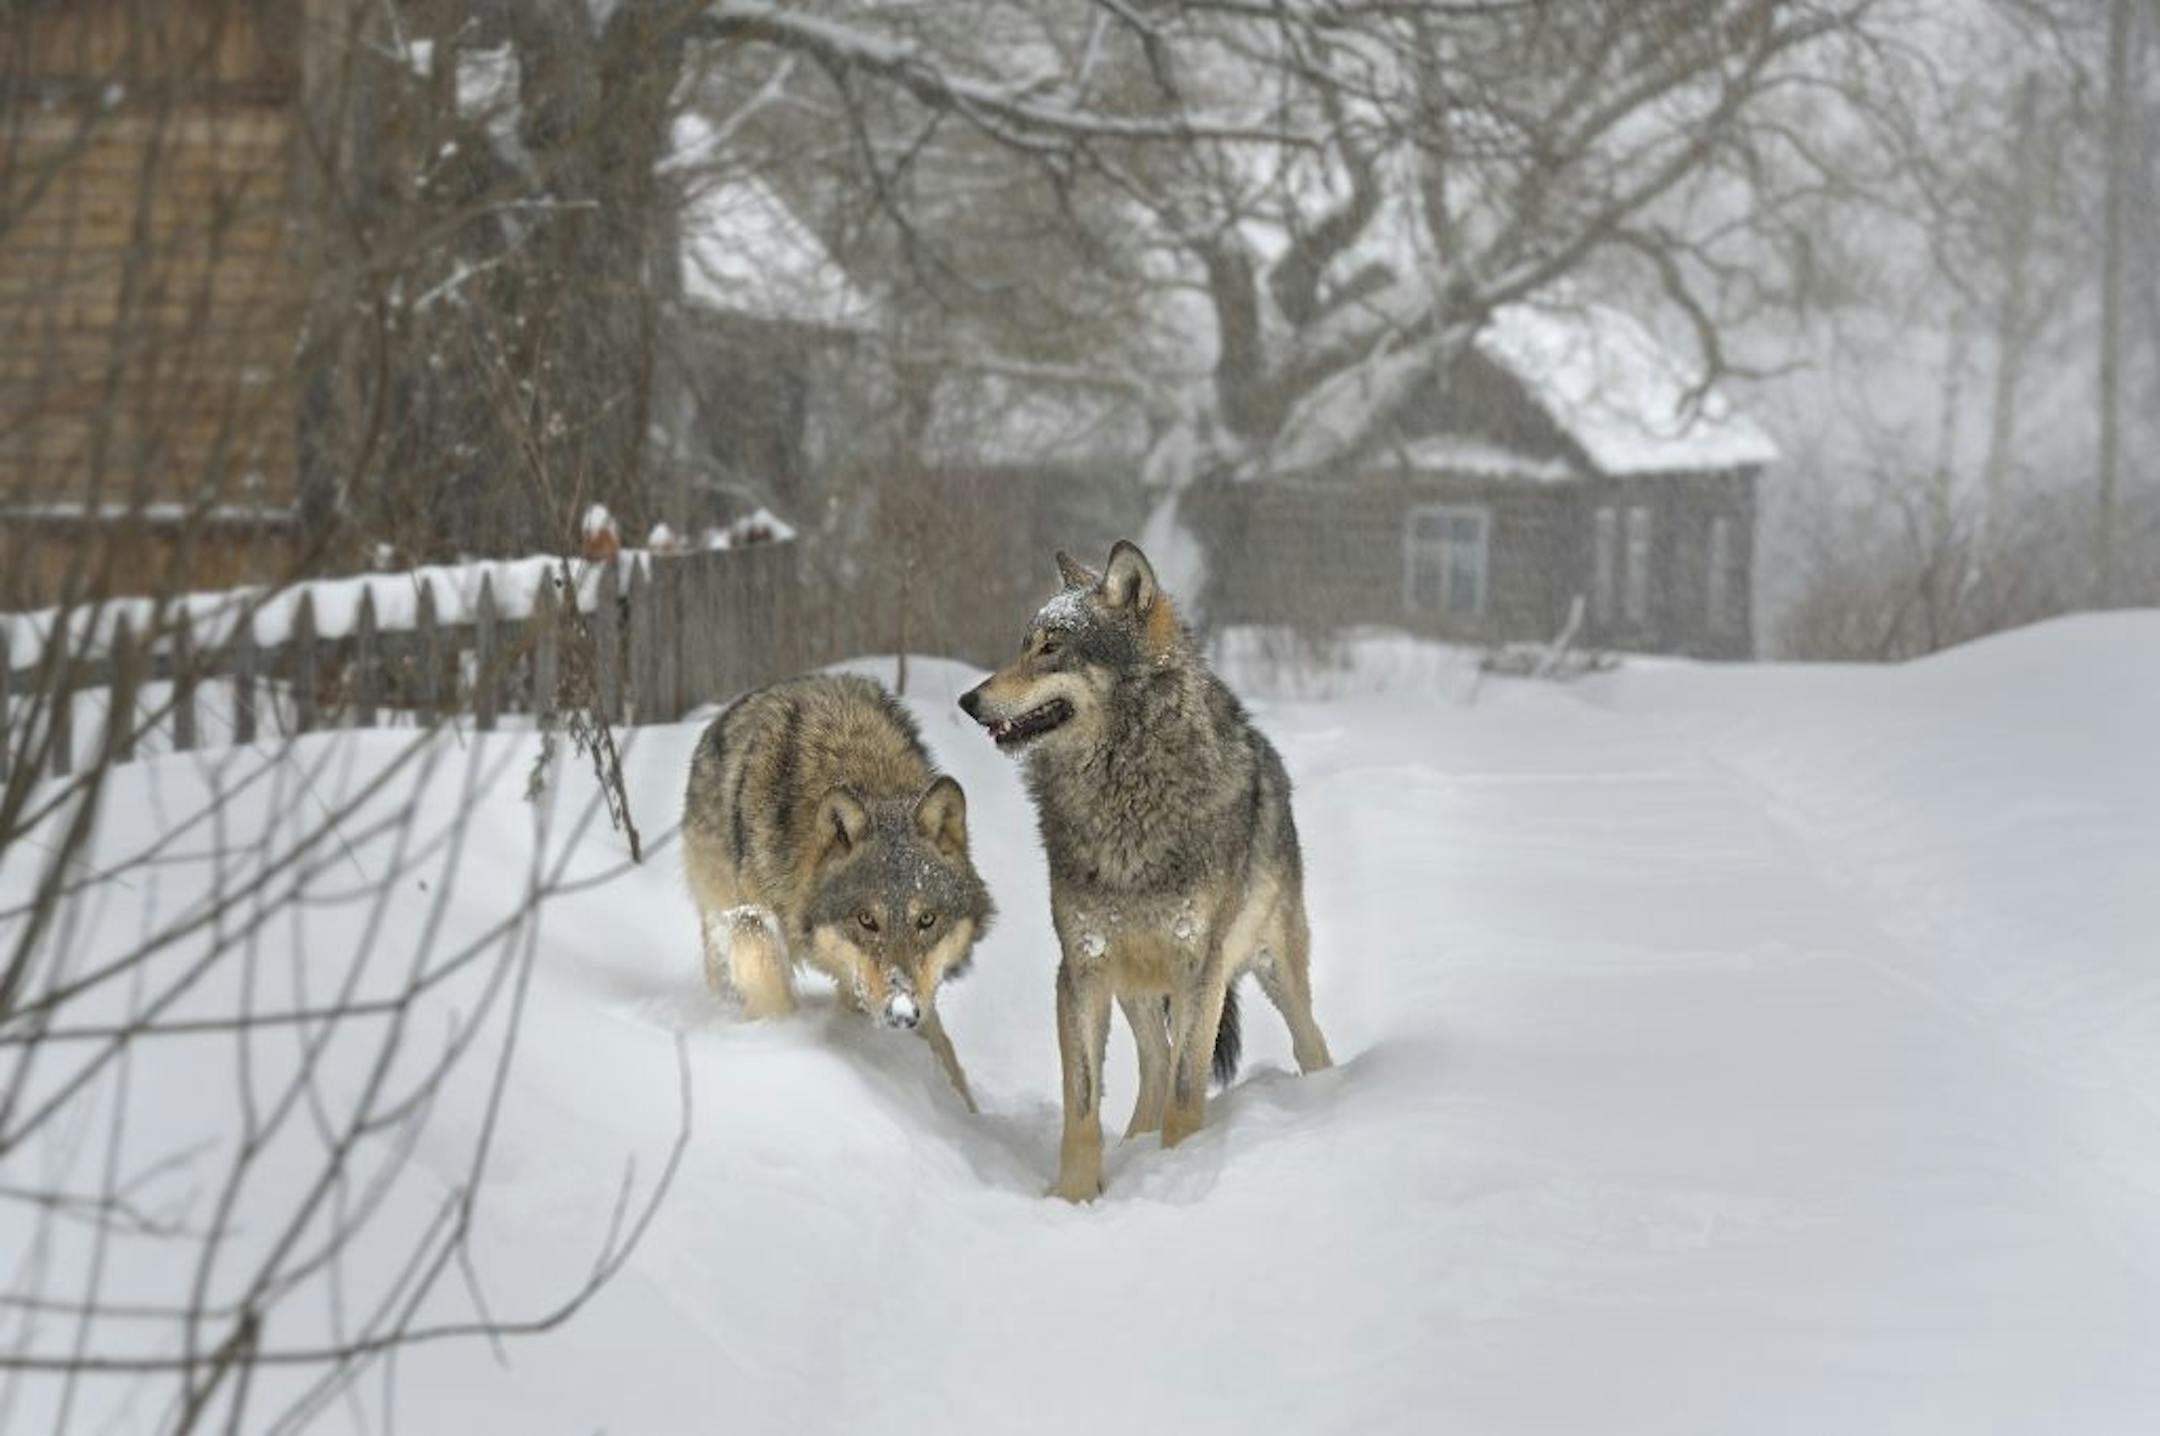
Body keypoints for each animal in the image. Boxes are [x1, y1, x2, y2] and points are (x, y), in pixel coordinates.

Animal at [683, 673, 994, 1111]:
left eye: (926, 919)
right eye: (866, 919)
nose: (902, 1014)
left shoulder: (908, 989)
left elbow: (943, 1049)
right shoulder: (754, 923)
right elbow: (773, 999)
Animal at [959, 541, 1331, 1200]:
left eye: (1052, 647)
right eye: (1024, 644)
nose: (968, 701)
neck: (1125, 797)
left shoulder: (1200, 969)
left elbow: (1187, 1094)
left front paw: (1180, 1176)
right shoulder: (1081, 968)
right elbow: (1082, 1106)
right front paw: (1075, 1197)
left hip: (1272, 970)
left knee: (1306, 1040)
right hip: (1134, 985)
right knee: (1154, 1067)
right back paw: (1135, 1146)